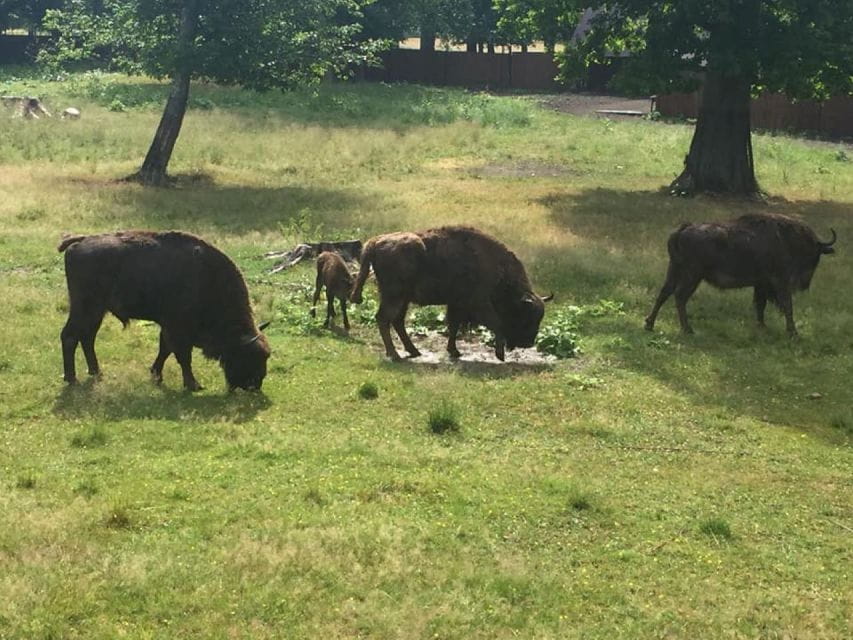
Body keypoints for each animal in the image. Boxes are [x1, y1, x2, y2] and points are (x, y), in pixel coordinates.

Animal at [59, 231, 270, 391]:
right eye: (248, 357)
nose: (255, 386)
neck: (208, 280)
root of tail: (80, 240)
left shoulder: (169, 328)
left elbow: (164, 350)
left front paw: (157, 376)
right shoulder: (178, 329)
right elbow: (183, 356)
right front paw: (193, 385)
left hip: (96, 312)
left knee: (87, 337)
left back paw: (96, 372)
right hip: (85, 308)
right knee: (70, 336)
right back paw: (72, 379)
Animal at [350, 226, 552, 361]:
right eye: (526, 316)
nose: (529, 343)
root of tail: (374, 242)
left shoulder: (456, 305)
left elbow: (453, 326)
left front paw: (454, 351)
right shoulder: (479, 304)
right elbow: (496, 324)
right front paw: (499, 355)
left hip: (403, 299)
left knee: (397, 321)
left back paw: (413, 351)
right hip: (394, 297)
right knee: (384, 319)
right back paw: (395, 355)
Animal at [645, 213, 836, 336]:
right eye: (814, 255)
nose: (804, 284)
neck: (788, 239)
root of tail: (683, 230)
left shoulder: (761, 284)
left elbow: (760, 305)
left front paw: (762, 327)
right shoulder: (779, 282)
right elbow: (787, 305)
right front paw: (793, 333)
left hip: (675, 270)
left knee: (664, 293)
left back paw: (649, 324)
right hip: (692, 276)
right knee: (679, 296)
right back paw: (688, 330)